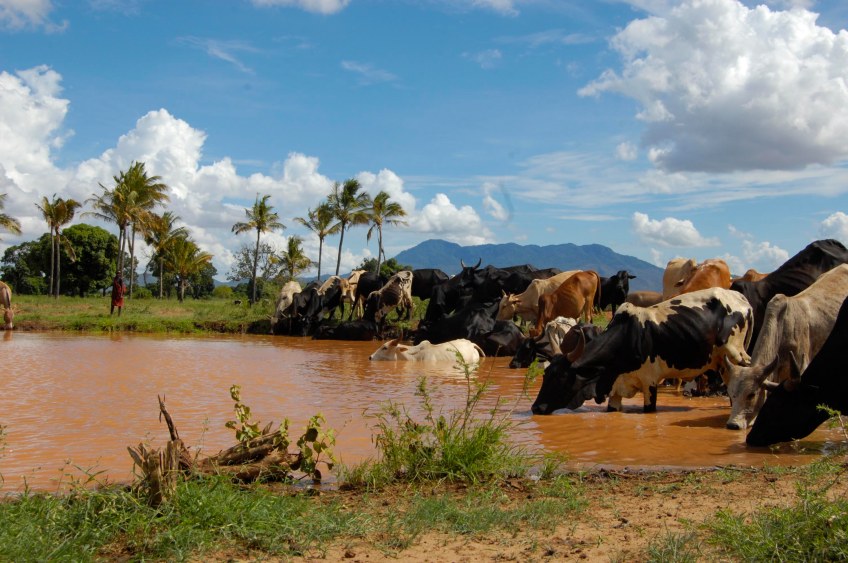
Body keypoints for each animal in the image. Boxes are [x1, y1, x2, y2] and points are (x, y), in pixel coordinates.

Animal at [531, 288, 753, 415]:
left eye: (560, 377)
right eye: (546, 375)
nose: (536, 408)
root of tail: (741, 298)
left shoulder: (650, 383)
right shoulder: (616, 390)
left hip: (737, 356)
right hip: (722, 362)